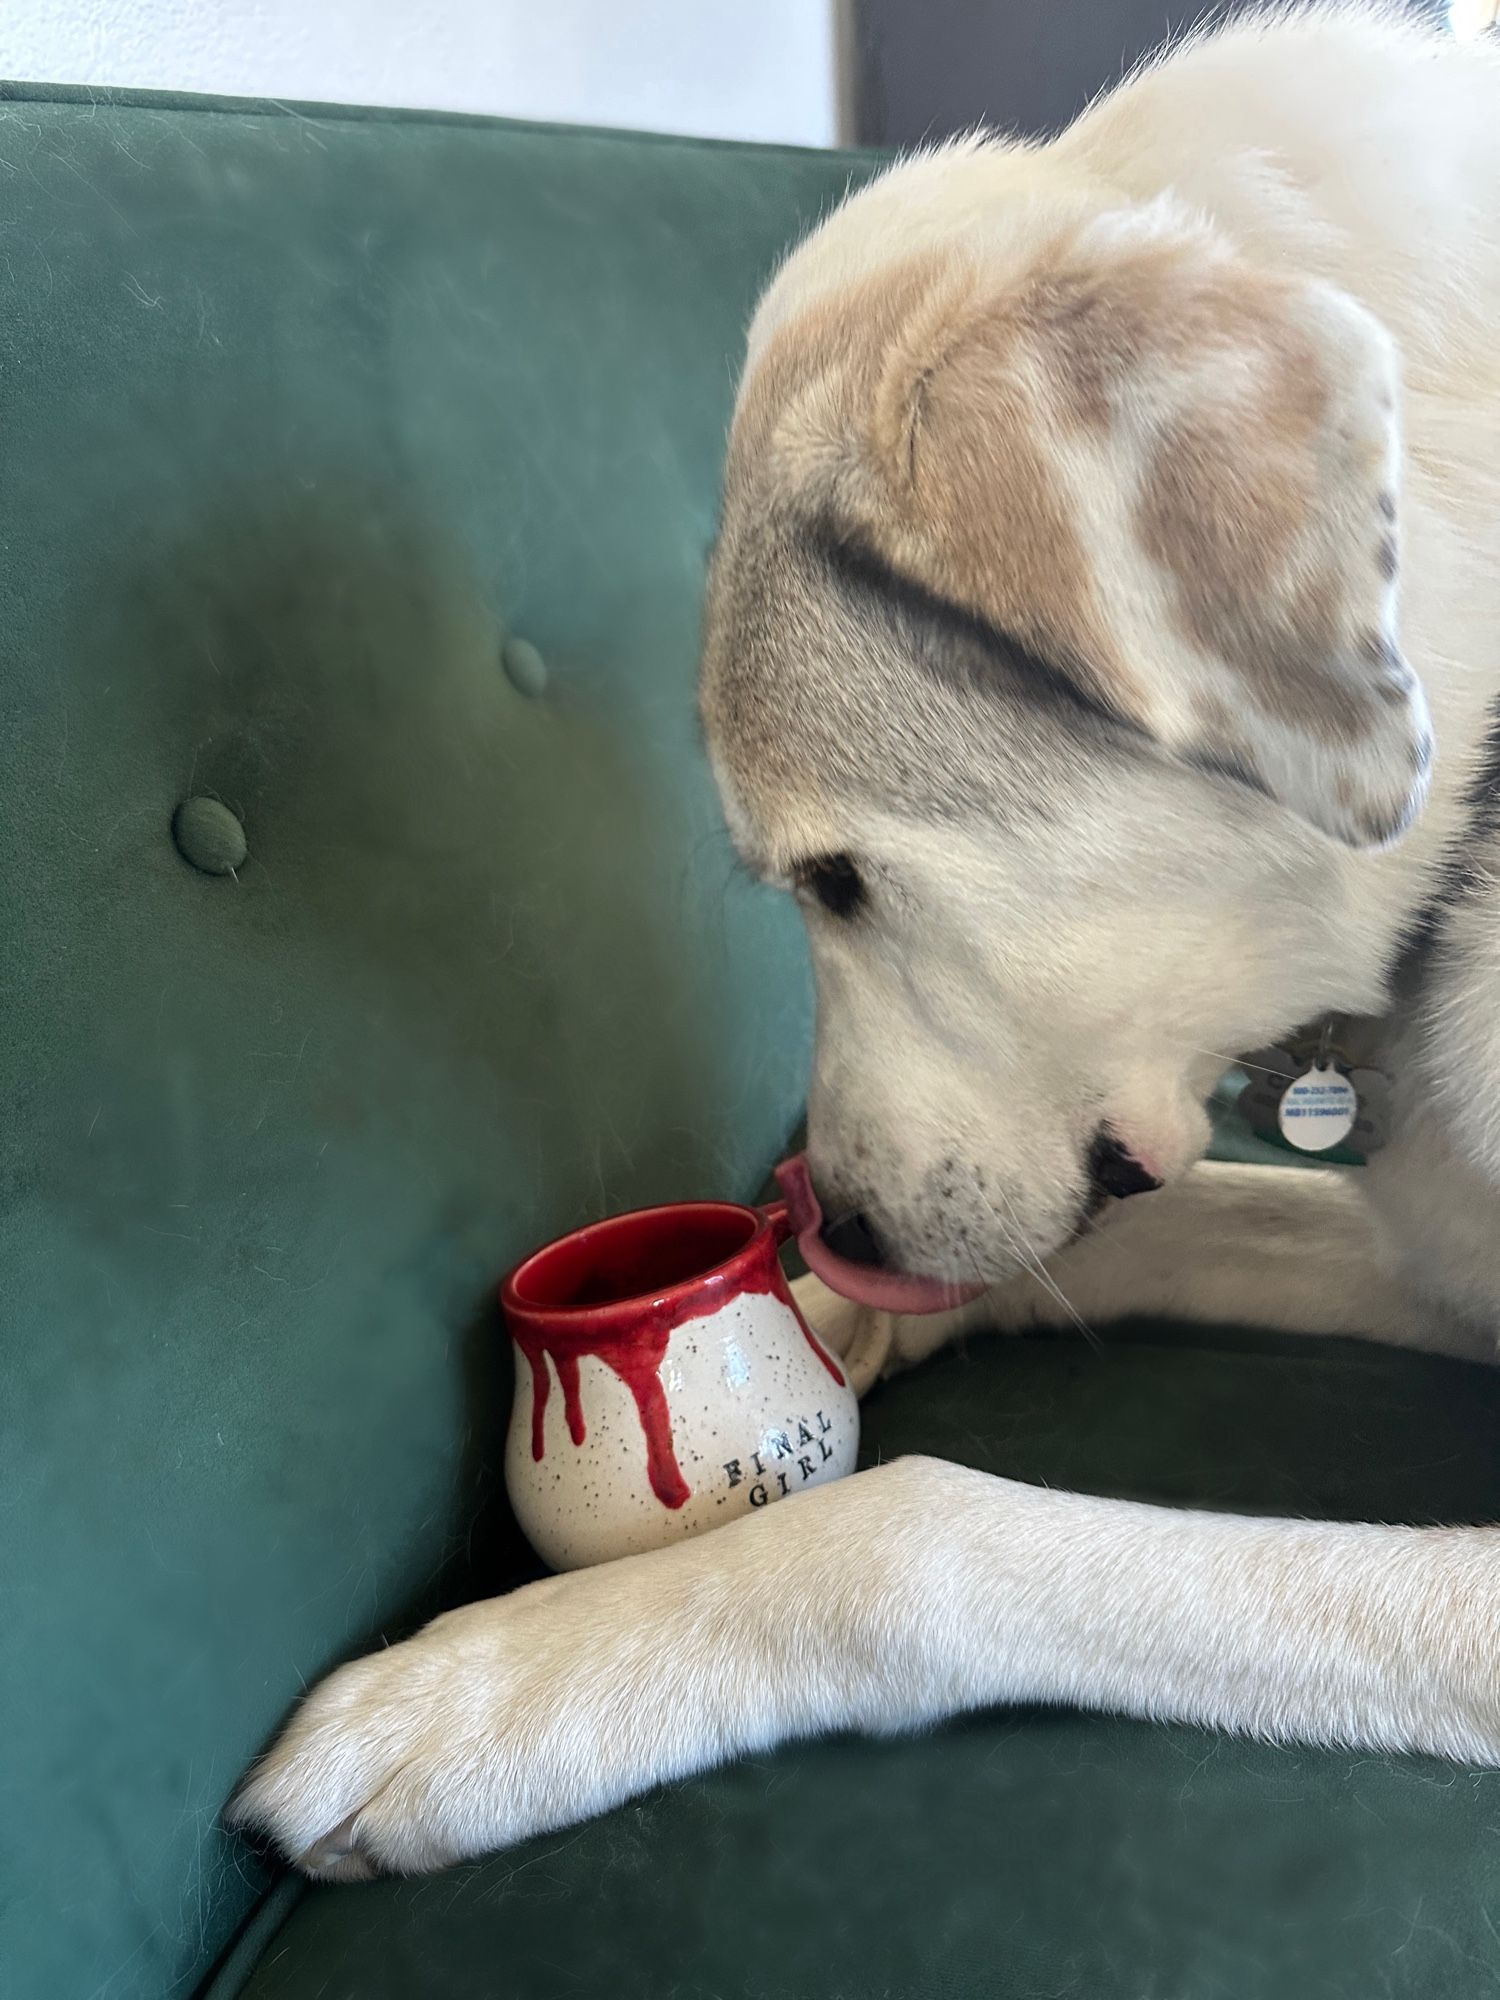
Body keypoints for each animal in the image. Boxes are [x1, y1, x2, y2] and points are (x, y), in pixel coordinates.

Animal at [232, 3, 1500, 1872]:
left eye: (831, 881)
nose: (831, 1217)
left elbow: (925, 1532)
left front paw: (514, 1678)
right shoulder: (1426, 1251)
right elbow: (1166, 1225)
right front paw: (825, 1321)